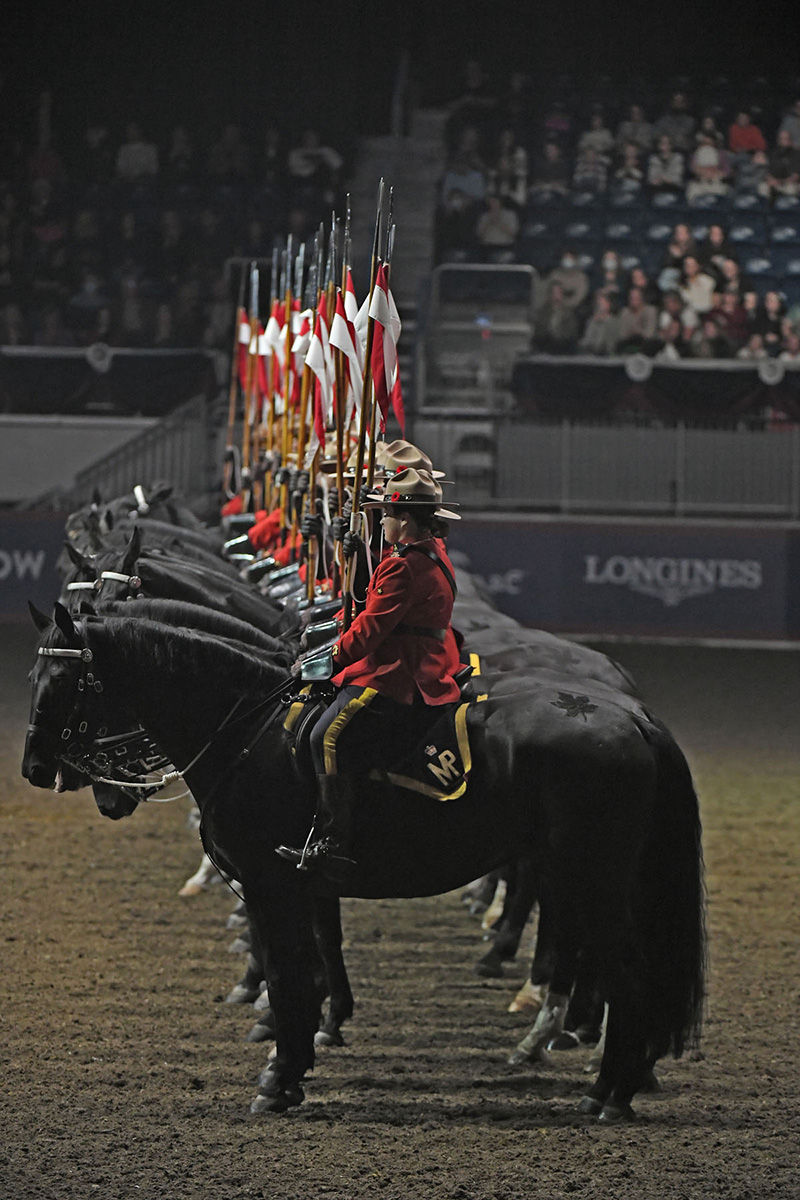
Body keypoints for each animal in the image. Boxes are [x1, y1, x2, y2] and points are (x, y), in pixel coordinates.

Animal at [23, 609, 705, 1123]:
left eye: (62, 680)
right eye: (34, 674)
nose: (34, 768)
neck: (249, 730)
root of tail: (633, 718)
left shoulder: (272, 888)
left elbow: (288, 975)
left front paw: (279, 1078)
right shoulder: (301, 888)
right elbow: (312, 962)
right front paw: (299, 1059)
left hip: (591, 880)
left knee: (626, 973)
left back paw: (606, 1088)